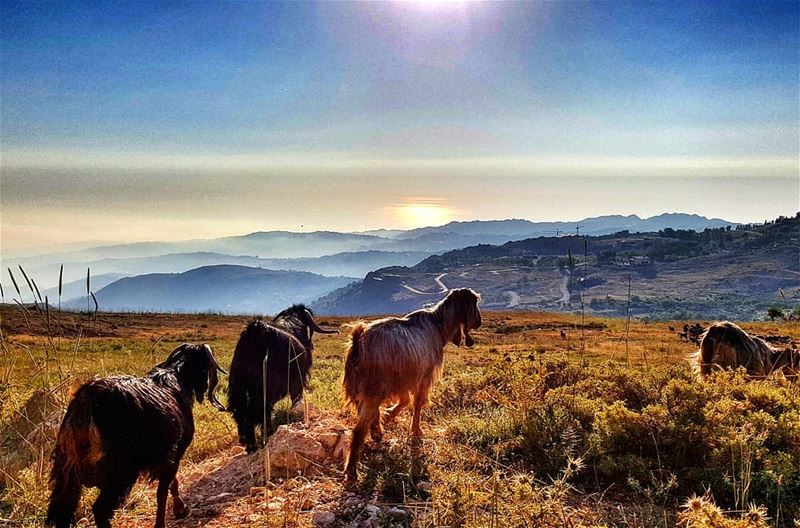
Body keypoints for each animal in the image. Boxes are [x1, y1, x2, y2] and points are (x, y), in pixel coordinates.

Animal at [46, 342, 225, 528]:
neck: (176, 378)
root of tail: (87, 400)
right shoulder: (174, 453)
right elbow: (163, 492)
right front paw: (173, 514)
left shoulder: (167, 457)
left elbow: (171, 483)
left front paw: (181, 509)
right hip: (121, 471)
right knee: (100, 509)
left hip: (67, 473)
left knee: (62, 511)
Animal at [225, 304, 338, 452]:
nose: (311, 346)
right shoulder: (299, 379)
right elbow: (296, 397)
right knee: (262, 412)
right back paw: (266, 436)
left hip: (239, 390)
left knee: (244, 415)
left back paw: (250, 444)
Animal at [342, 286, 482, 480]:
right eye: (474, 302)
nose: (479, 322)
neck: (438, 326)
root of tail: (358, 346)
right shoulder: (424, 377)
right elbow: (417, 403)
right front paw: (416, 430)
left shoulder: (403, 379)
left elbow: (404, 401)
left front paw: (386, 417)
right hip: (373, 390)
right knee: (358, 430)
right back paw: (352, 471)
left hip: (359, 389)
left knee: (367, 415)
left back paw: (376, 432)